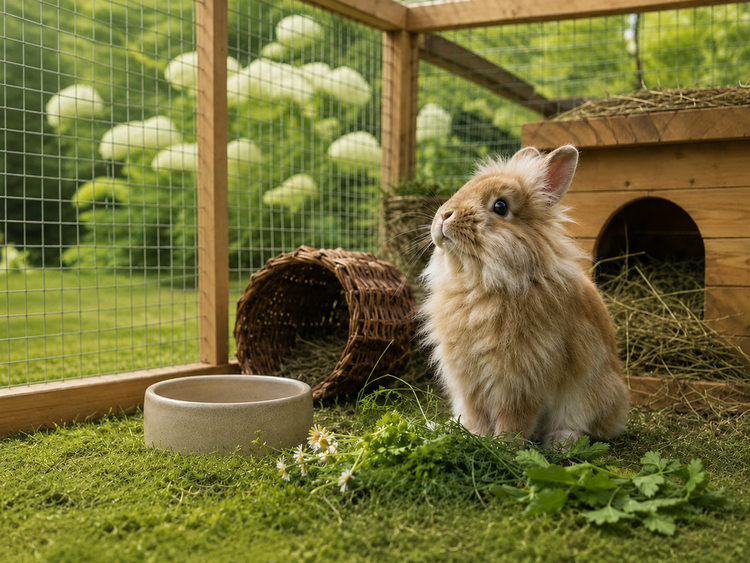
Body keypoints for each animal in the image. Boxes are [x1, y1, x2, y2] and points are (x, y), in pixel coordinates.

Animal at [420, 145, 629, 451]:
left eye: (500, 206)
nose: (444, 216)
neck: (479, 283)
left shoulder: (523, 379)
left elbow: (514, 417)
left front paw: (504, 446)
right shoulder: (470, 381)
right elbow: (476, 413)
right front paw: (474, 437)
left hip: (591, 395)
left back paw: (561, 441)